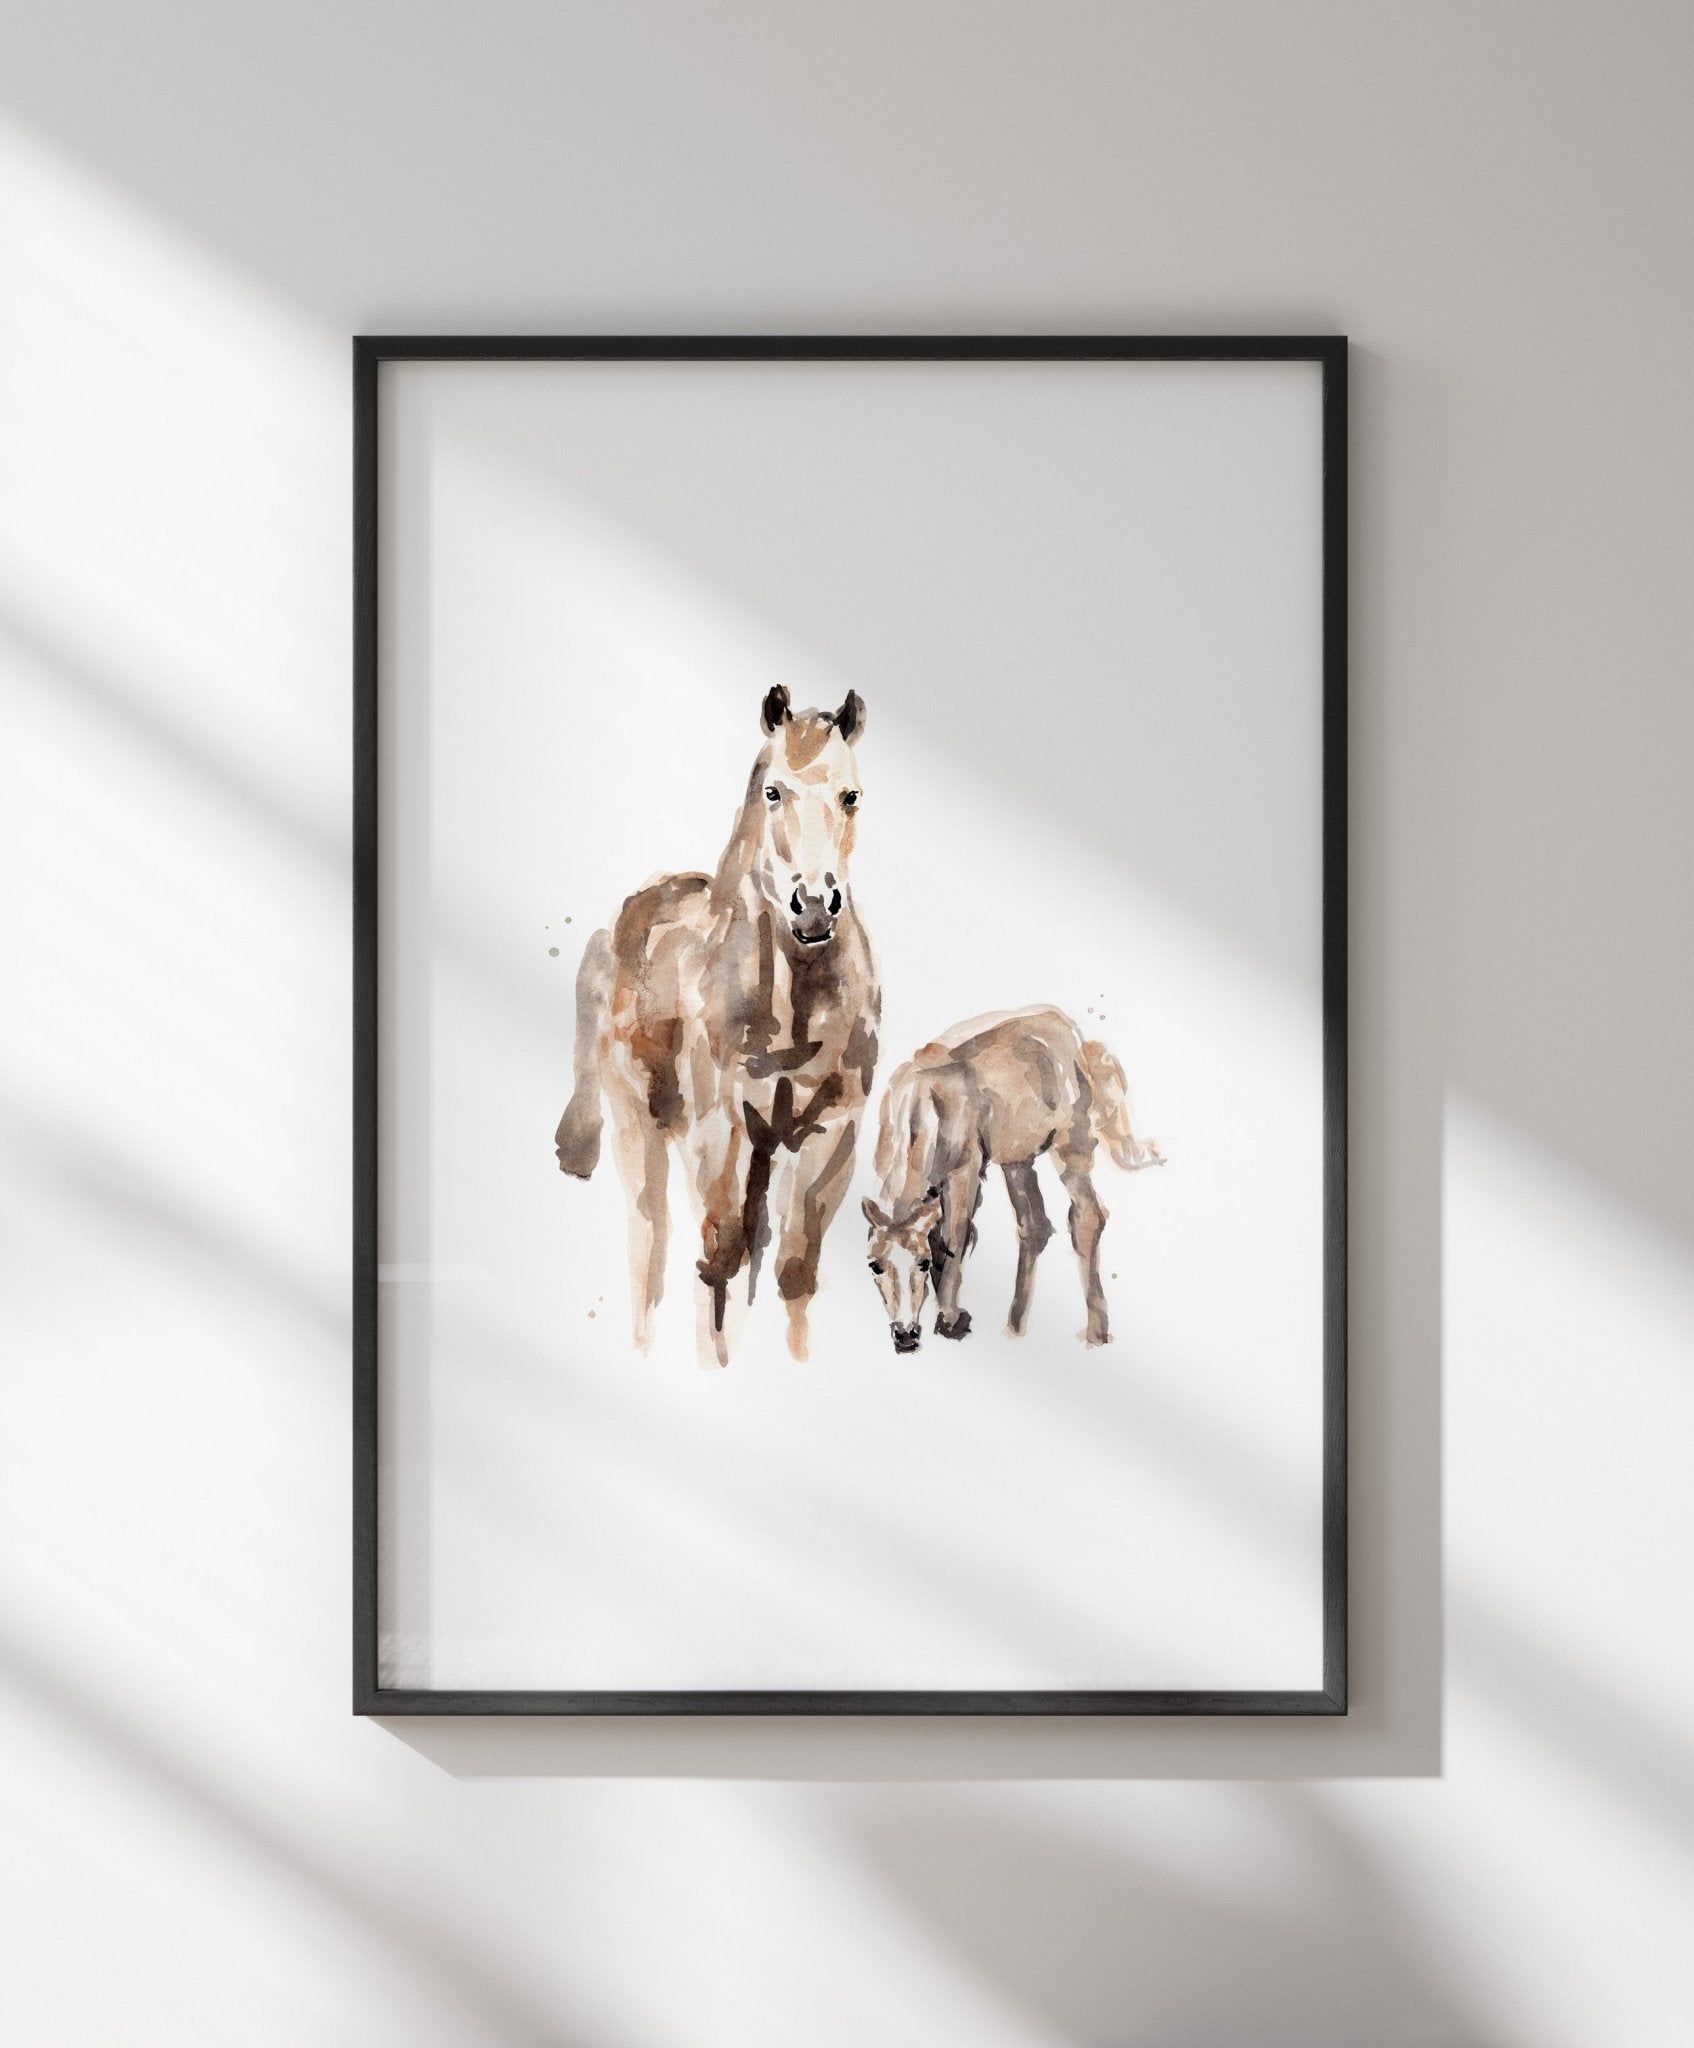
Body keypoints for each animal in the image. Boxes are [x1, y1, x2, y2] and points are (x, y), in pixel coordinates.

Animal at [556, 686, 879, 1366]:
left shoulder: (832, 1132)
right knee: (650, 1241)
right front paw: (715, 1366)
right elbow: (718, 1259)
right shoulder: (718, 1126)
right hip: (640, 1123)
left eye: (851, 795)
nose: (814, 908)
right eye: (772, 791)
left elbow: (794, 1270)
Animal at [860, 1007, 1164, 1353]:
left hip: (1071, 1143)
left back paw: (1096, 1333)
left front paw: (950, 1318)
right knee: (1034, 1227)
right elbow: (943, 1238)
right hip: (1017, 1159)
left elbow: (954, 1239)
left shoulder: (965, 1171)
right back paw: (1015, 1328)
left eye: (921, 1263)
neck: (921, 1106)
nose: (906, 1336)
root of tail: (1070, 1030)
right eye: (874, 1265)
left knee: (1087, 1217)